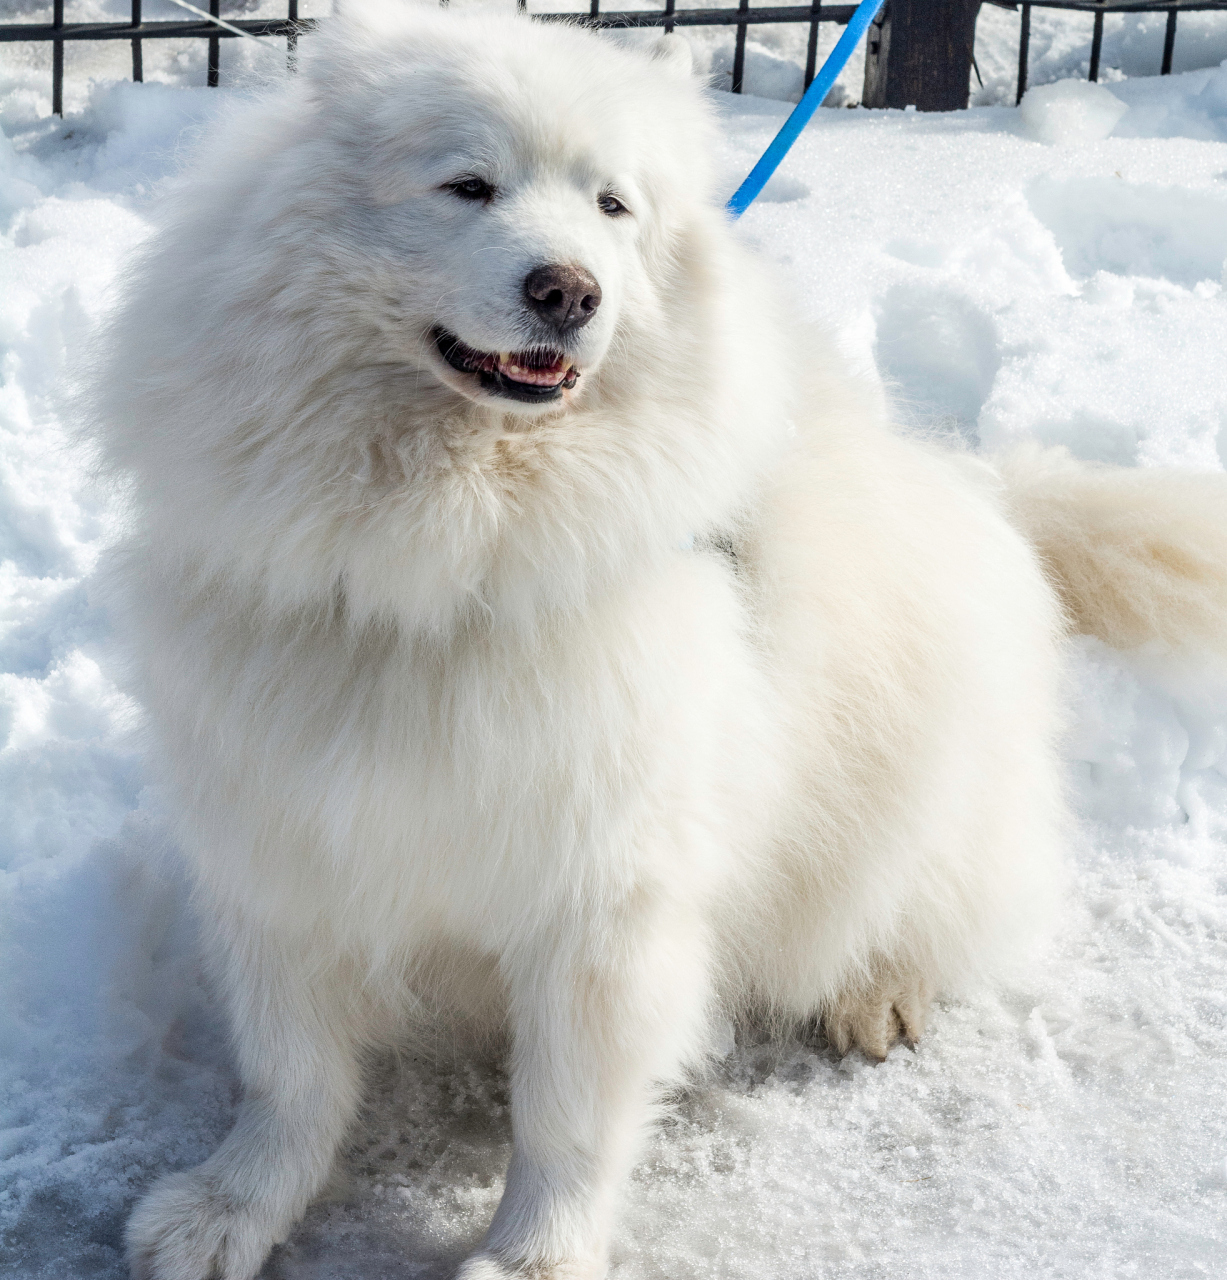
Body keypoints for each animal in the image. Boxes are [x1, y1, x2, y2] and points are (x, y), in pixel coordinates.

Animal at [93, 5, 1227, 1274]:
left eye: (611, 206)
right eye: (467, 184)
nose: (568, 290)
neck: (448, 563)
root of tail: (987, 492)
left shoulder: (608, 897)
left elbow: (566, 1114)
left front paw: (533, 1256)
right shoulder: (286, 850)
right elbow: (289, 1077)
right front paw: (229, 1207)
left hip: (910, 795)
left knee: (937, 903)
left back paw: (877, 990)